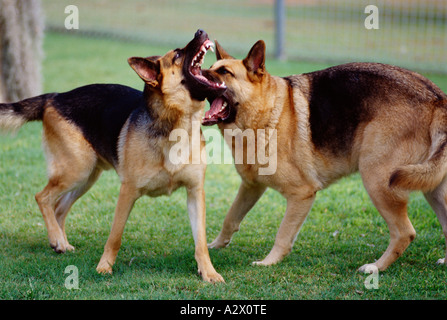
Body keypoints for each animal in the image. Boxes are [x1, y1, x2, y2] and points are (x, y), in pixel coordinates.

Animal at [0, 28, 226, 282]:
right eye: (177, 55)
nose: (200, 30)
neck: (177, 124)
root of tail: (55, 96)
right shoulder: (127, 192)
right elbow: (115, 236)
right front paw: (104, 267)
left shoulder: (195, 193)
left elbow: (201, 242)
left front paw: (208, 272)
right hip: (76, 171)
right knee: (43, 197)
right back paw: (57, 238)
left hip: (86, 178)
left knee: (58, 207)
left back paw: (60, 242)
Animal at [202, 38, 447, 272]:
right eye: (211, 67)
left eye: (225, 72)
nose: (196, 73)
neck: (267, 114)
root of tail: (436, 98)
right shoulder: (251, 187)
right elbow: (230, 217)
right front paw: (215, 245)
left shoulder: (301, 195)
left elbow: (283, 234)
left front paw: (268, 262)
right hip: (431, 188)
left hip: (377, 181)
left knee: (404, 232)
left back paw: (376, 267)